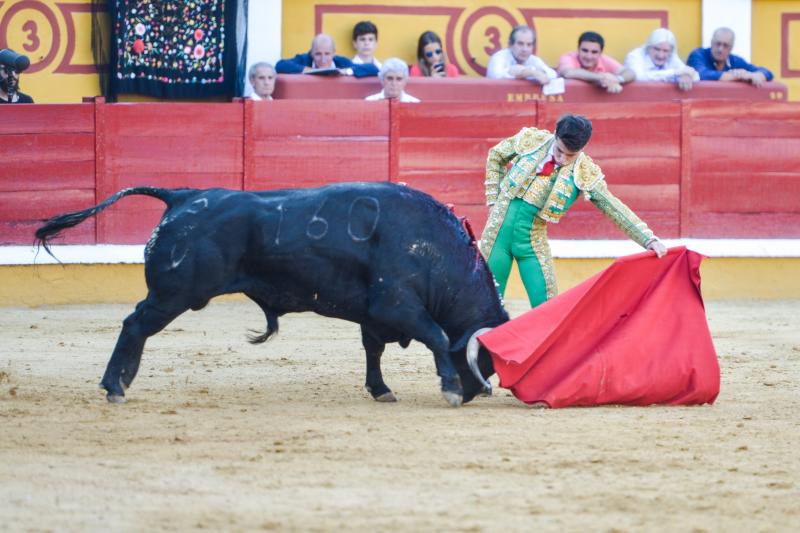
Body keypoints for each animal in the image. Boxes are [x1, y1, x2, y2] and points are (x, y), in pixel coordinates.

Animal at [34, 181, 510, 406]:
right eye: (485, 361)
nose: (475, 393)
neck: (432, 248)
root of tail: (183, 196)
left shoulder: (375, 316)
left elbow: (373, 352)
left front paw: (381, 390)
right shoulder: (396, 304)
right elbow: (438, 337)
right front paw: (449, 387)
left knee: (136, 327)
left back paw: (121, 382)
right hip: (173, 294)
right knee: (134, 324)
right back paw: (115, 385)